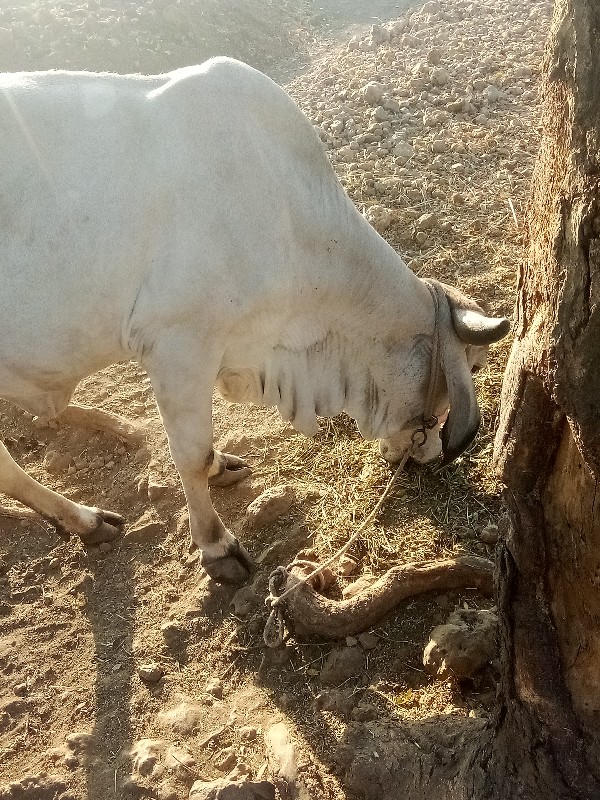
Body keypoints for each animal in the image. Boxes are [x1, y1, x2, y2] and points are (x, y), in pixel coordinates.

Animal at [0, 56, 508, 580]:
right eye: (469, 367)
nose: (432, 458)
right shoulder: (177, 347)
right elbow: (191, 455)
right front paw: (216, 546)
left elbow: (206, 453)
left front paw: (224, 467)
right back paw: (85, 516)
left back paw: (83, 519)